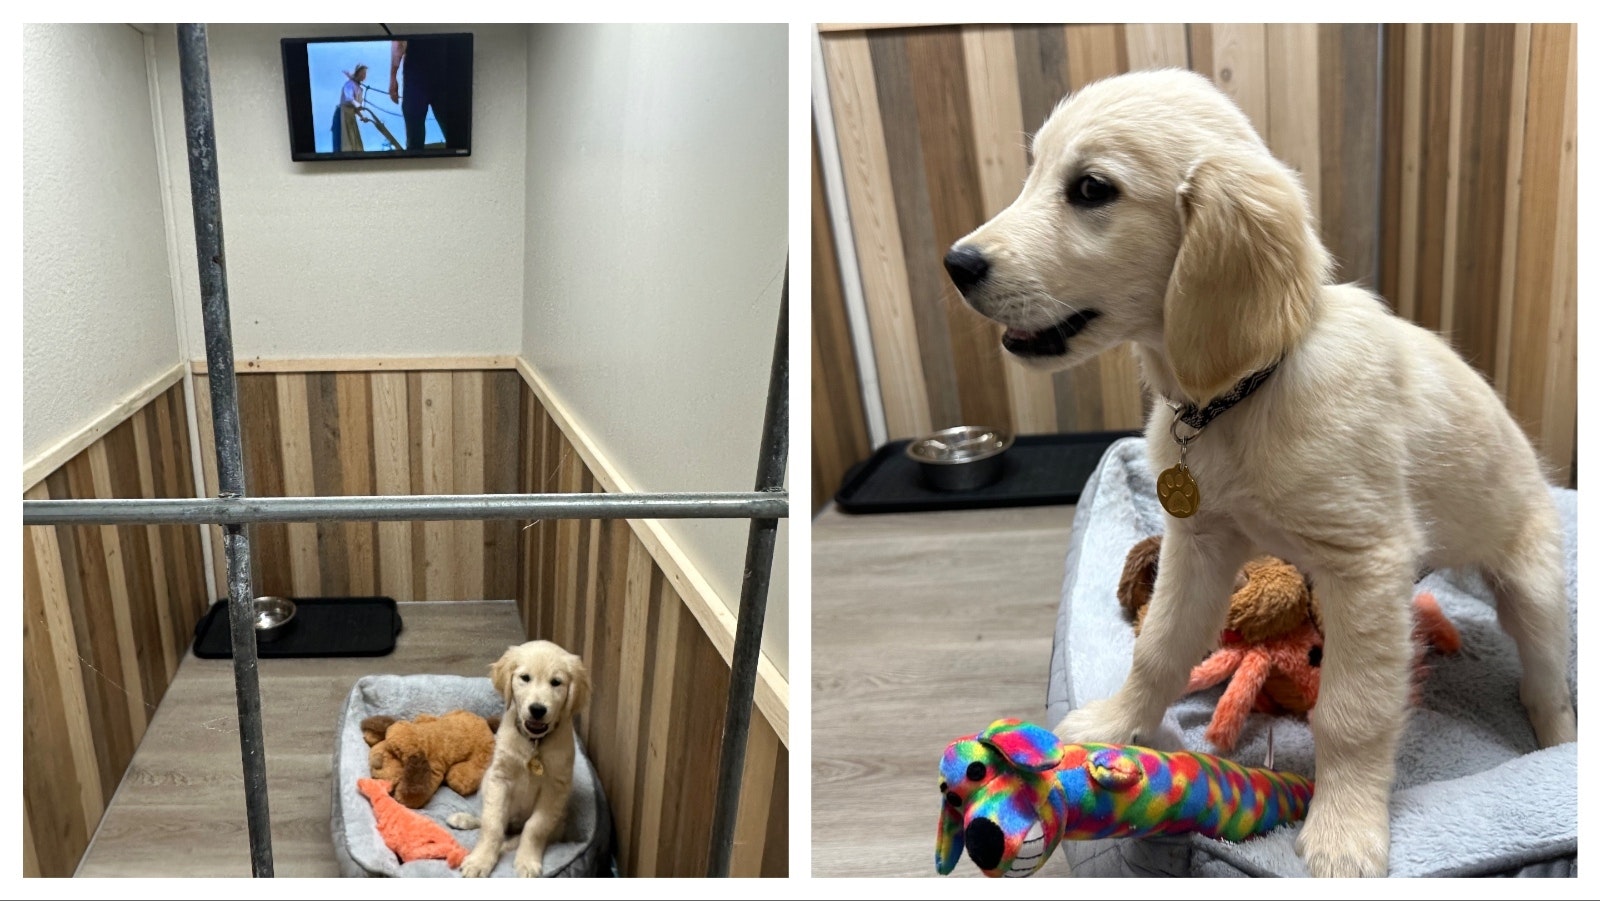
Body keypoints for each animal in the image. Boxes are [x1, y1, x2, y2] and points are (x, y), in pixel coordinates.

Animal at [454, 640, 592, 883]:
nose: (537, 709)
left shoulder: (555, 788)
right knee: (485, 817)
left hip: (559, 820)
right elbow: (492, 823)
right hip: (487, 781)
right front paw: (480, 860)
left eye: (556, 682)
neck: (534, 743)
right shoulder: (499, 778)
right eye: (525, 678)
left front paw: (527, 862)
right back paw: (464, 819)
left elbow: (535, 827)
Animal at [940, 66, 1568, 876]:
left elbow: (1353, 711)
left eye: (1091, 189)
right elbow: (1159, 647)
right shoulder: (1199, 541)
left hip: (1533, 584)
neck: (1240, 395)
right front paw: (1115, 723)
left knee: (1547, 677)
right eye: (1035, 172)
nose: (956, 264)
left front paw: (1344, 828)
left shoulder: (1365, 564)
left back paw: (1557, 746)